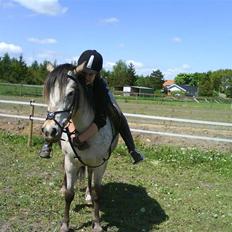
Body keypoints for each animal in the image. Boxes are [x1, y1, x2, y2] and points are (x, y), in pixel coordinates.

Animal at [41, 62, 118, 231]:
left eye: (71, 93)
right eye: (48, 93)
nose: (49, 130)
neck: (84, 129)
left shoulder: (101, 164)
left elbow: (97, 193)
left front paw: (97, 223)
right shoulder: (70, 161)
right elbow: (69, 194)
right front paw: (65, 224)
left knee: (89, 176)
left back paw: (88, 194)